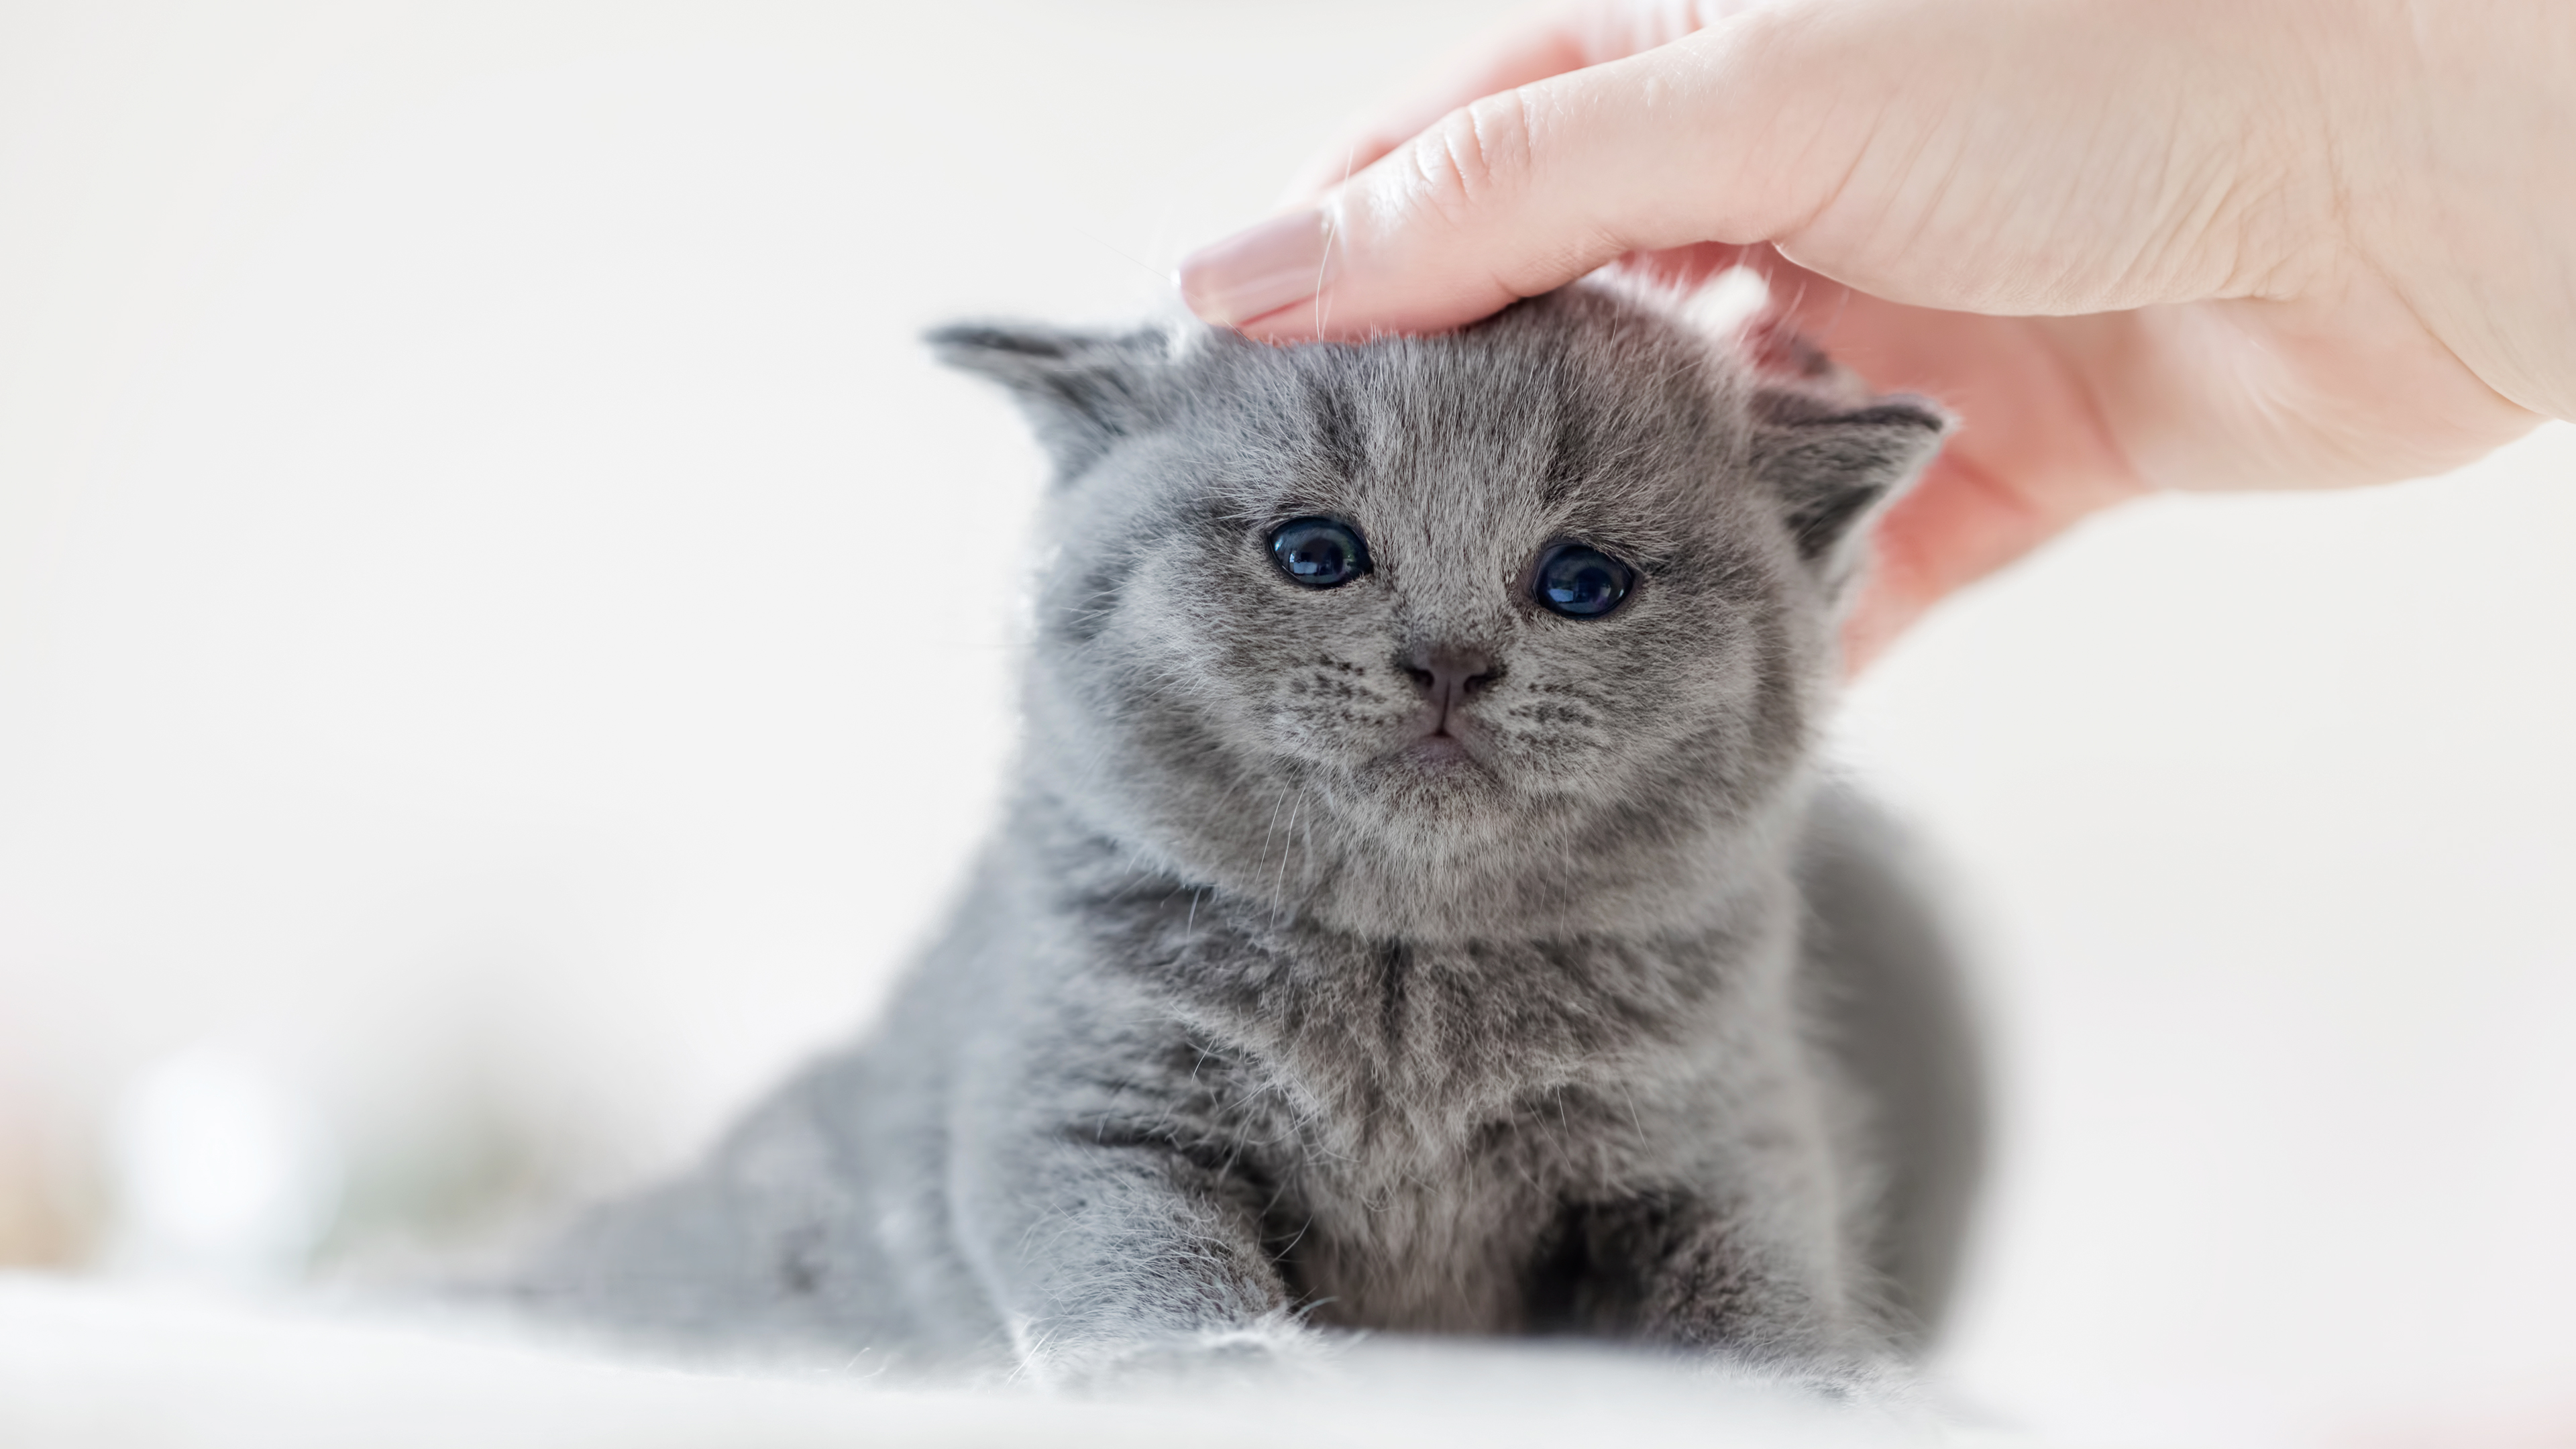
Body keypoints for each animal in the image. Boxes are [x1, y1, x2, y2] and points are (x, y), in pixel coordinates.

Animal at [513, 280, 1978, 1371]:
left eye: (1584, 582)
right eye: (1314, 553)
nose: (1450, 661)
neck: (1406, 990)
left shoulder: (1729, 1142)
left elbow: (1763, 1290)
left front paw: (1826, 1389)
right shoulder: (1077, 1106)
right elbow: (1136, 1256)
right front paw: (1216, 1374)